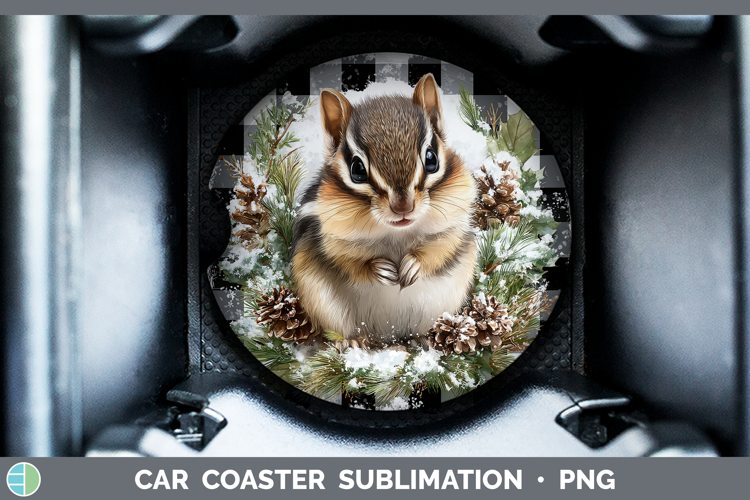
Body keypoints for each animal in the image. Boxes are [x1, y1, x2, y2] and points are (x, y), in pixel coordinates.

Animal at [291, 74, 477, 345]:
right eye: (357, 170)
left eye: (431, 159)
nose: (403, 207)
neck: (396, 233)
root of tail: (389, 336)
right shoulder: (328, 235)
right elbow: (347, 261)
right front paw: (379, 269)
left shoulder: (453, 226)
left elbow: (441, 248)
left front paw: (413, 265)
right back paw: (352, 341)